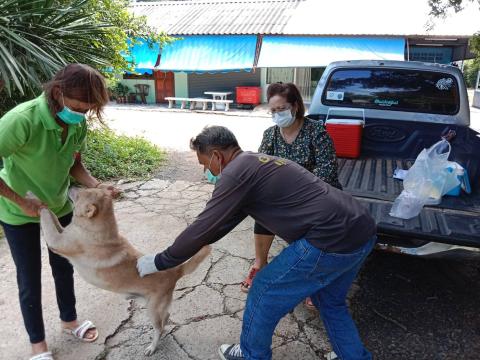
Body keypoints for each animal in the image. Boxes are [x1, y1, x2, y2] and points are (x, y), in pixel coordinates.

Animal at [37, 187, 210, 356]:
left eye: (79, 193)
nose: (70, 186)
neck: (98, 230)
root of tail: (174, 270)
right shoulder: (61, 232)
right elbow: (53, 218)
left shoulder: (55, 241)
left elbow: (46, 217)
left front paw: (36, 200)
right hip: (148, 303)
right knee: (165, 317)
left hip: (152, 310)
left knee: (158, 327)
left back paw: (153, 346)